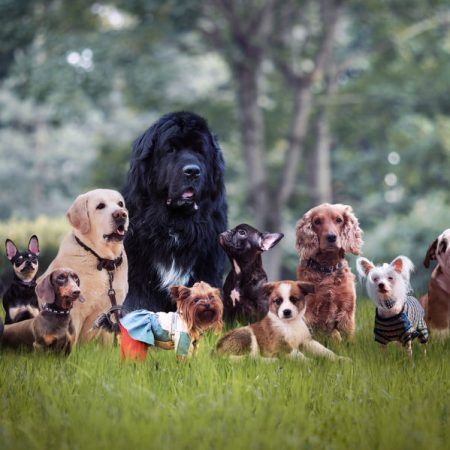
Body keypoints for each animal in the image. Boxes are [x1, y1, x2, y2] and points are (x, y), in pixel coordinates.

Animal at [216, 280, 350, 360]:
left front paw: (340, 359)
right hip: (246, 335)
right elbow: (299, 355)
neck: (290, 324)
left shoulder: (307, 342)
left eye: (294, 299)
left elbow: (325, 351)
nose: (286, 312)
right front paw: (312, 363)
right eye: (278, 301)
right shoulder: (280, 346)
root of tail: (214, 351)